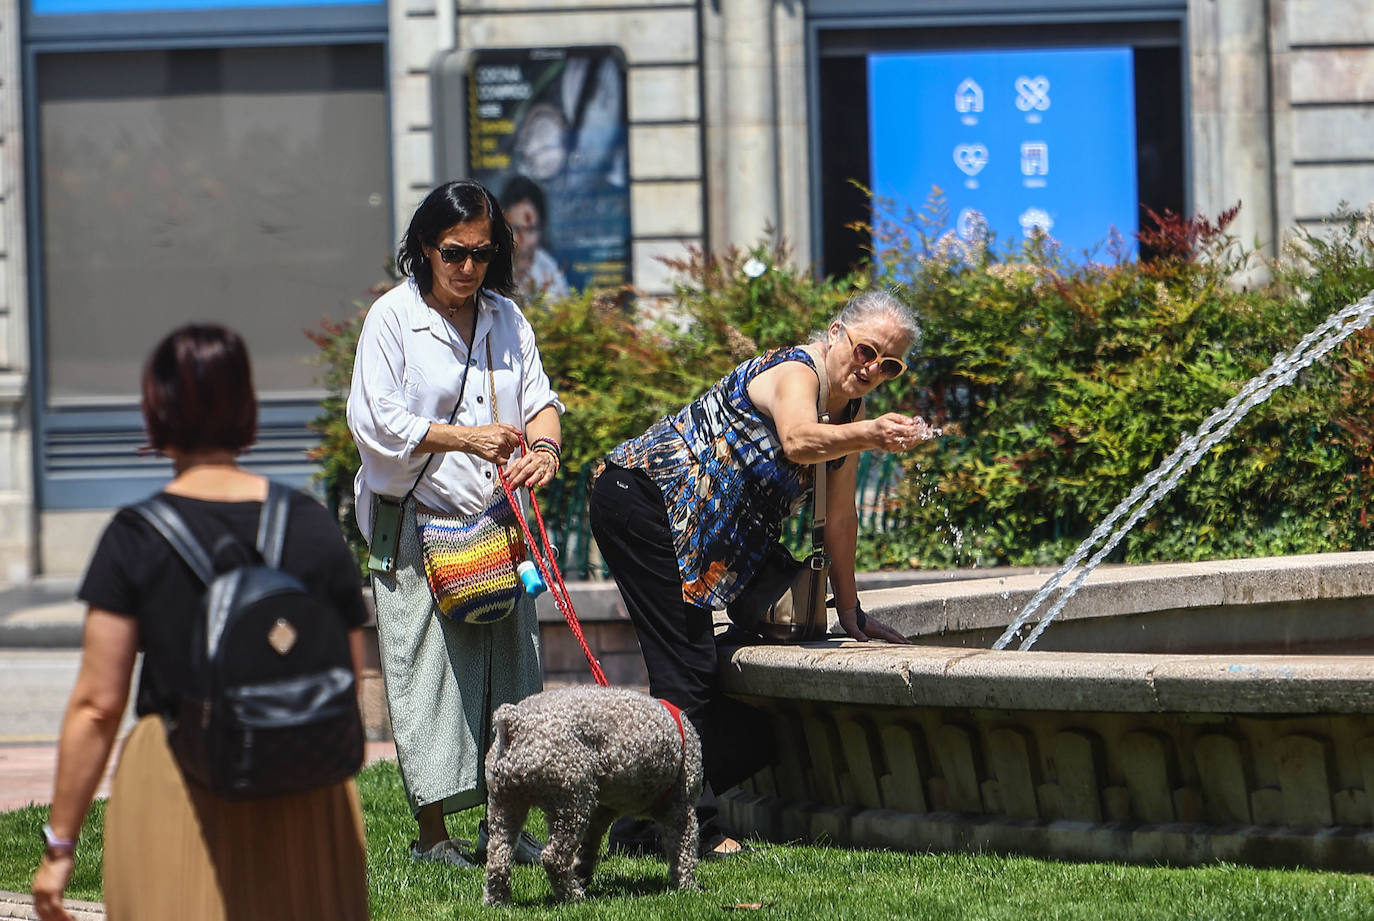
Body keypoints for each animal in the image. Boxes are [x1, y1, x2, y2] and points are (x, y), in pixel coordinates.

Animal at [483, 690, 703, 907]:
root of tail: (516, 724)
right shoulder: (682, 807)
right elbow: (683, 851)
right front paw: (688, 887)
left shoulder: (601, 811)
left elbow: (588, 848)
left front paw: (582, 874)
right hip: (571, 802)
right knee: (553, 857)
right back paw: (572, 896)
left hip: (505, 804)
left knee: (497, 856)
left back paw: (497, 900)